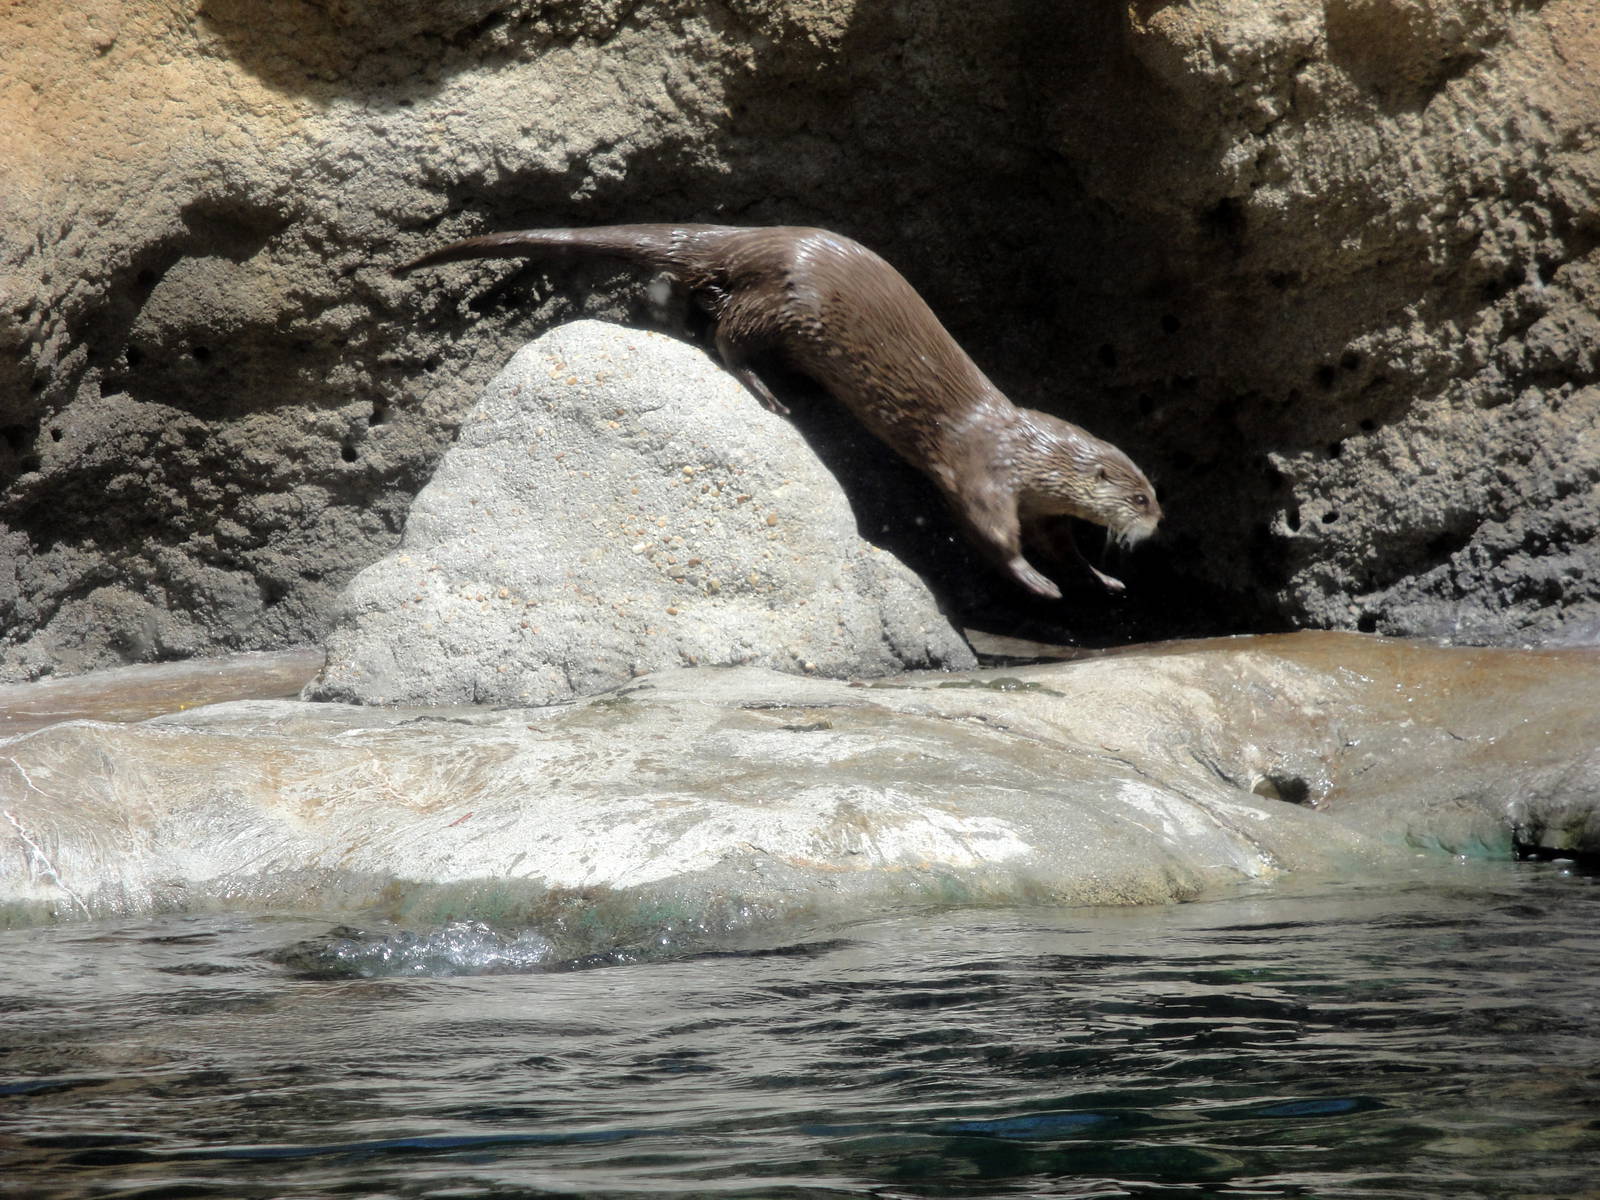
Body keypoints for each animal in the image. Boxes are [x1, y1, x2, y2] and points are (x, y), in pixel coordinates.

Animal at [399, 224, 1160, 598]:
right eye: (1141, 498)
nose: (1158, 524)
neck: (1026, 450)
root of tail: (758, 236)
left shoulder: (1042, 504)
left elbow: (1060, 541)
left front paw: (1099, 577)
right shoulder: (983, 471)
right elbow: (990, 532)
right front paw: (1036, 582)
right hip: (781, 303)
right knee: (726, 333)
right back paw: (768, 391)